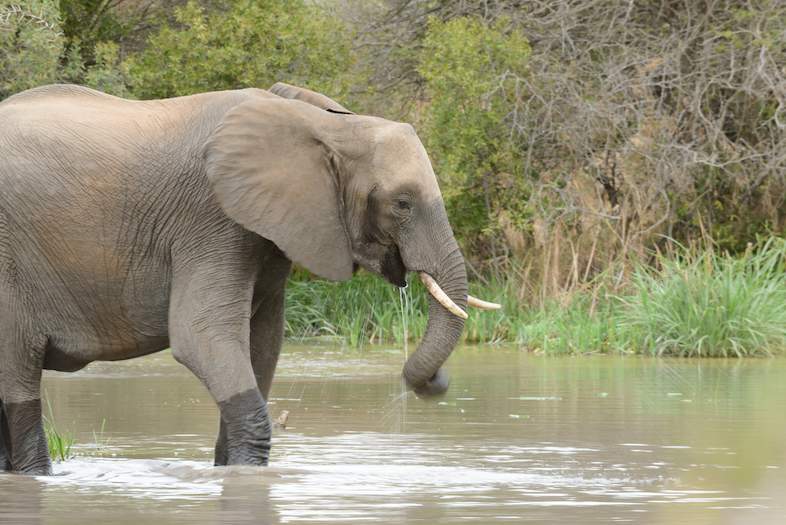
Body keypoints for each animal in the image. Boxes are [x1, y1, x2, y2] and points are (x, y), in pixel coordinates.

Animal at [0, 83, 496, 474]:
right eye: (403, 203)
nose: (435, 383)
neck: (321, 124)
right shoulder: (211, 219)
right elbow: (201, 336)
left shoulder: (270, 231)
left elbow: (264, 345)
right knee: (18, 379)